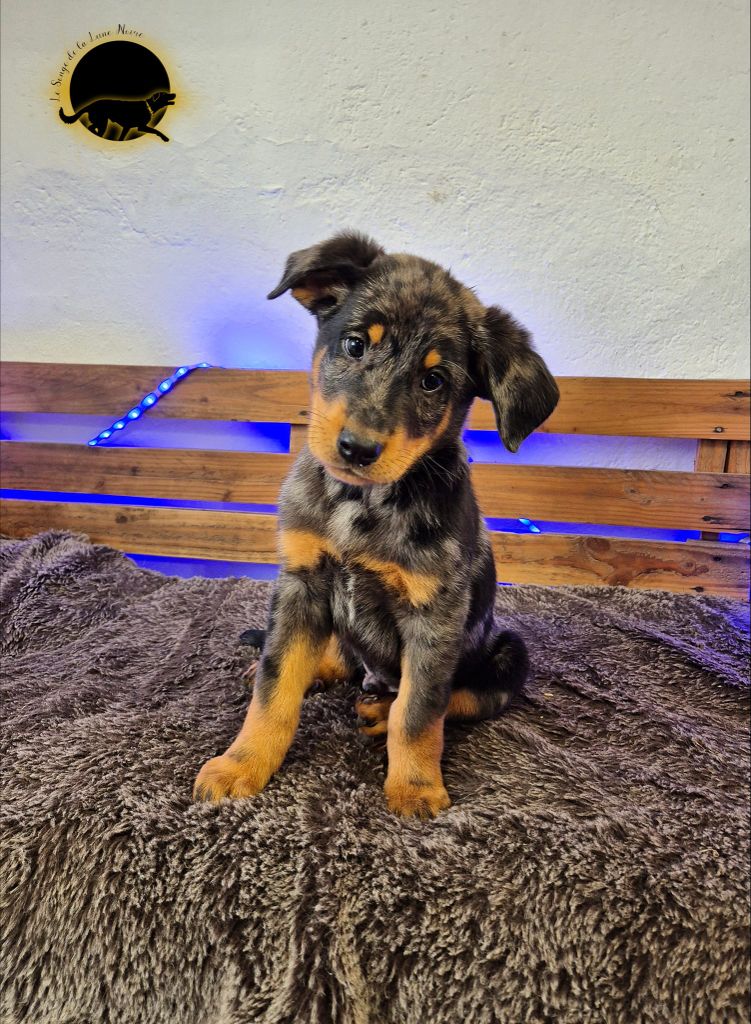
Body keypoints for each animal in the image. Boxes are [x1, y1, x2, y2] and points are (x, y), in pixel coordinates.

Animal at [194, 232, 559, 818]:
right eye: (355, 344)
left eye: (434, 380)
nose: (357, 449)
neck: (360, 504)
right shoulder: (301, 584)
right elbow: (275, 690)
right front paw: (241, 765)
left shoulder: (434, 617)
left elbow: (420, 712)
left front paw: (415, 788)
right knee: (333, 659)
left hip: (507, 652)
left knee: (445, 698)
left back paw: (377, 712)